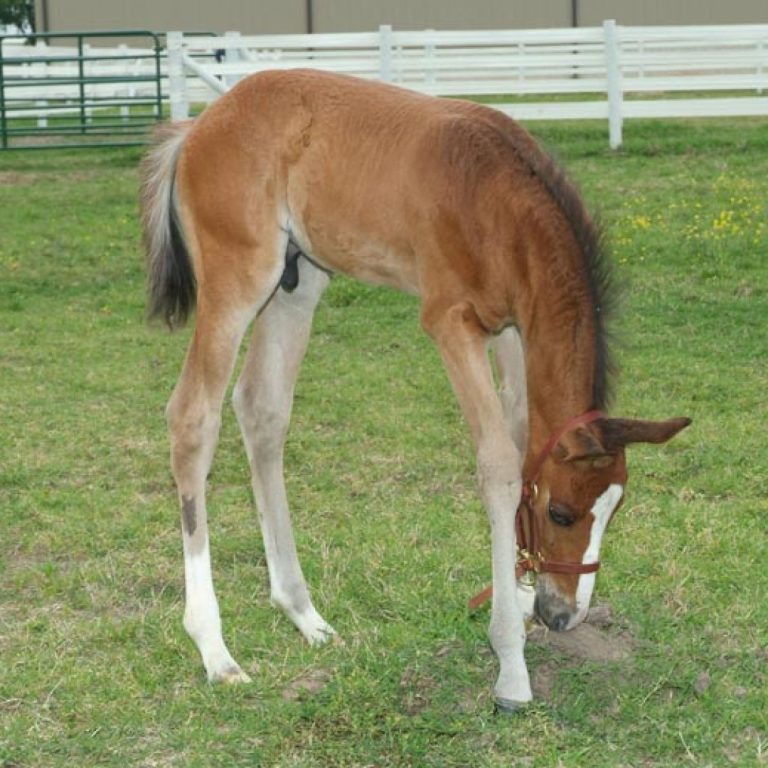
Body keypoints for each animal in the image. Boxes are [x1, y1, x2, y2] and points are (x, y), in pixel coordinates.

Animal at [141, 69, 688, 712]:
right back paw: (214, 648)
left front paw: (519, 603)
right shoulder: (451, 322)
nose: (562, 615)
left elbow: (521, 443)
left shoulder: (511, 329)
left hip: (299, 281)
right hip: (240, 276)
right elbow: (498, 466)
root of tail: (198, 126)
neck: (498, 199)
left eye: (615, 509)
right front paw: (510, 665)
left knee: (261, 410)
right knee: (193, 418)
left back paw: (302, 612)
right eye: (562, 510)